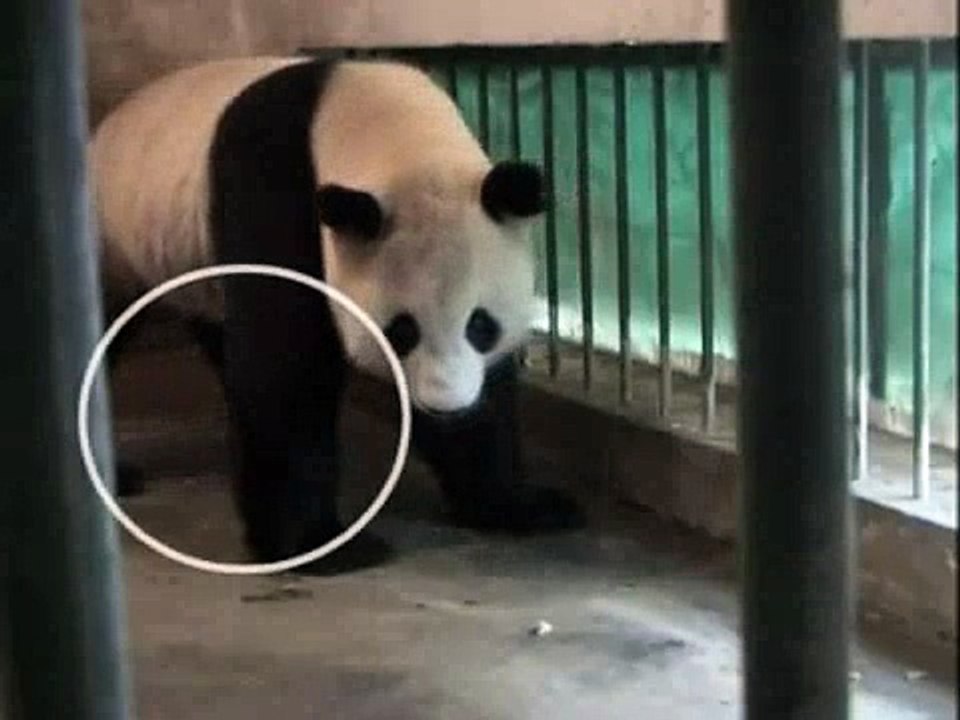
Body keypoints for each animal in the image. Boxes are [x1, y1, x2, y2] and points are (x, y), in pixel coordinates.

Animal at [89, 55, 586, 575]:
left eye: (481, 326)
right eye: (401, 331)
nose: (444, 405)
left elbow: (489, 395)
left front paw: (519, 505)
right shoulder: (273, 190)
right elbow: (285, 369)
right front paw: (321, 544)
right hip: (110, 242)